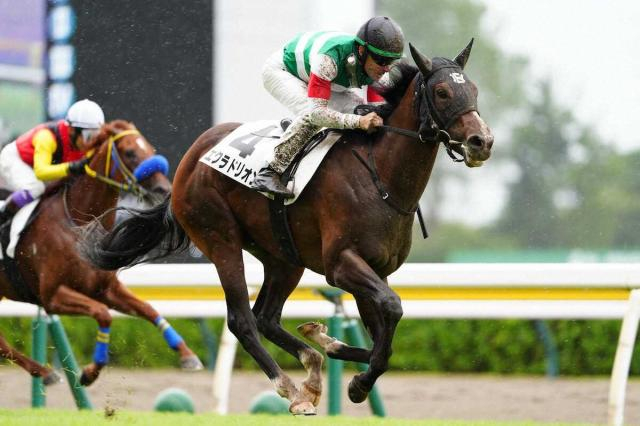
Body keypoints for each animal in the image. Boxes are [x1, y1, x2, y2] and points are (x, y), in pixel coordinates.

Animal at [0, 120, 203, 387]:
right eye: (130, 152)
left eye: (150, 148)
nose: (163, 188)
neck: (78, 226)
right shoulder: (51, 296)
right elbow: (104, 315)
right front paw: (89, 372)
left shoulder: (104, 288)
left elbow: (148, 309)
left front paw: (188, 355)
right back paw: (46, 372)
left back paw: (45, 372)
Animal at [80, 41, 493, 414]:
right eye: (442, 92)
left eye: (473, 89)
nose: (482, 141)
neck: (382, 176)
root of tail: (190, 159)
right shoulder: (342, 264)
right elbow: (391, 311)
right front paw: (358, 383)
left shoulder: (377, 270)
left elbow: (384, 336)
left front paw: (334, 349)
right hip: (220, 238)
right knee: (243, 320)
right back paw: (292, 391)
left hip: (283, 257)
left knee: (266, 316)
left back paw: (313, 365)